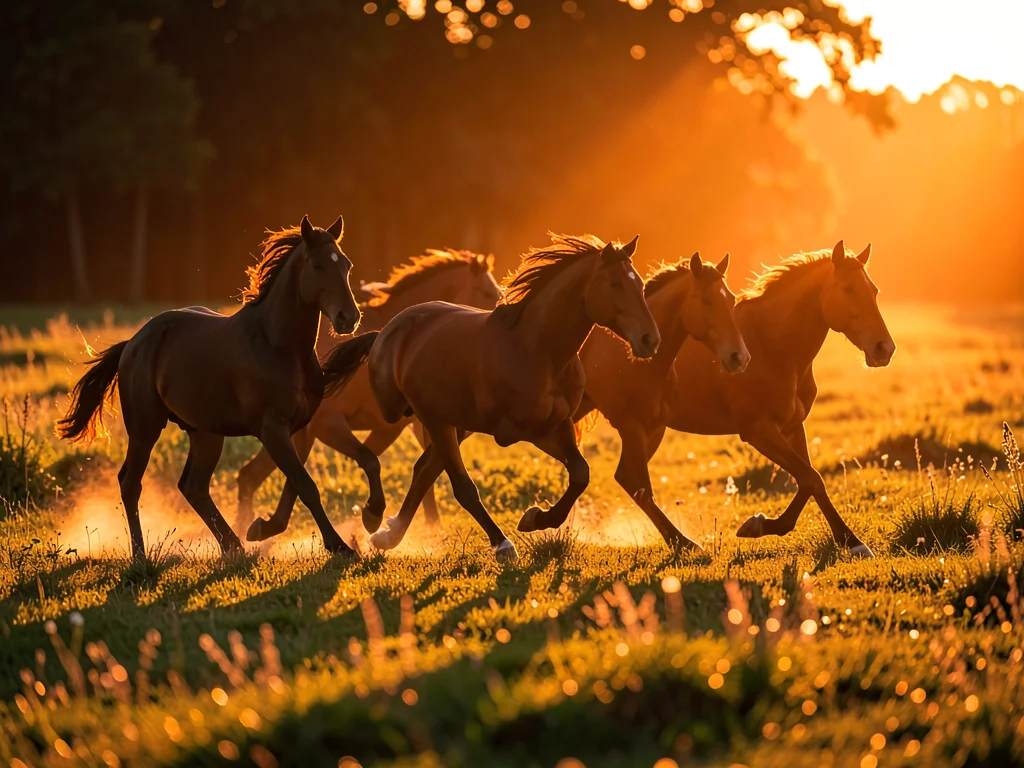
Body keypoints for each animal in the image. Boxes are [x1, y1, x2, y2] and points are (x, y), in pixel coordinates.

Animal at [57, 216, 369, 561]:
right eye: (317, 265)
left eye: (346, 265)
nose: (348, 318)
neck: (277, 346)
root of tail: (134, 343)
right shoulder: (272, 428)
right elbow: (305, 485)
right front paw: (340, 547)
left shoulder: (299, 428)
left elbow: (296, 485)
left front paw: (261, 529)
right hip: (145, 428)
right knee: (131, 482)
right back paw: (141, 555)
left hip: (205, 432)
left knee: (193, 486)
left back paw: (233, 546)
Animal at [239, 249, 502, 542]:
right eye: (487, 292)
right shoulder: (328, 425)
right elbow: (374, 461)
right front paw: (373, 517)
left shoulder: (399, 426)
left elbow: (424, 471)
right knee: (252, 477)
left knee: (250, 477)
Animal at [324, 233, 661, 560]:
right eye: (615, 284)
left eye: (640, 285)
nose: (650, 340)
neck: (538, 350)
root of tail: (386, 331)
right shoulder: (523, 431)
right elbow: (467, 487)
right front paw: (519, 531)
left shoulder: (560, 425)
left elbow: (581, 474)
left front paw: (536, 518)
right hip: (431, 419)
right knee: (454, 483)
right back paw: (495, 542)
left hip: (456, 424)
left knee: (424, 470)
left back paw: (386, 533)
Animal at [529, 252, 749, 547]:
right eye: (707, 300)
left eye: (731, 300)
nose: (739, 357)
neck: (642, 363)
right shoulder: (630, 426)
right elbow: (637, 484)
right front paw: (681, 541)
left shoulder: (653, 428)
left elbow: (631, 481)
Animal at [664, 241, 895, 556]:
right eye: (848, 289)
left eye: (874, 291)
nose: (885, 348)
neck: (771, 345)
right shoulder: (759, 431)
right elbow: (811, 477)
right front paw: (758, 525)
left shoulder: (792, 427)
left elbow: (811, 481)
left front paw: (851, 541)